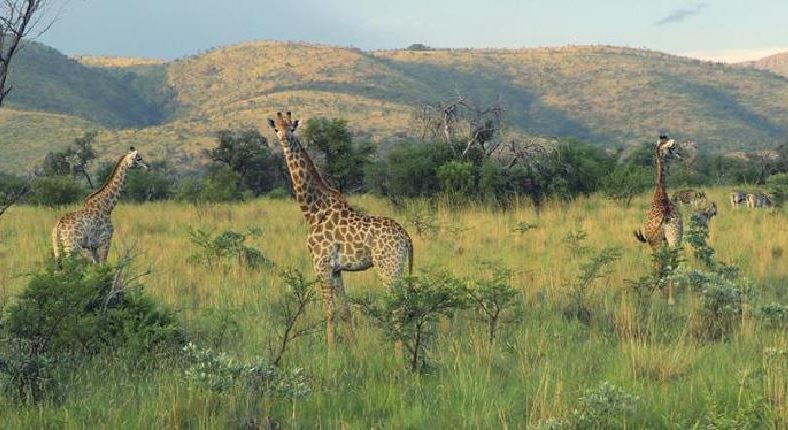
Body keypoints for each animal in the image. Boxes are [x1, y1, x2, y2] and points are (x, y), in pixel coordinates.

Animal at [266, 111, 412, 346]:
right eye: (277, 129)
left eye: (292, 128)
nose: (284, 140)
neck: (313, 211)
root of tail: (406, 237)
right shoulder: (336, 269)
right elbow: (345, 310)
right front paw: (354, 347)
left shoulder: (321, 264)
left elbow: (329, 312)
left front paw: (330, 350)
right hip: (398, 267)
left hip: (388, 267)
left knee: (398, 307)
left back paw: (400, 351)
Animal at [636, 136, 684, 304]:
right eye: (672, 148)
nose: (681, 157)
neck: (660, 192)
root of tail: (666, 215)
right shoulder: (666, 240)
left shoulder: (655, 241)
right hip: (675, 237)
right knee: (672, 264)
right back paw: (671, 298)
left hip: (655, 242)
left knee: (658, 266)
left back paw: (660, 296)